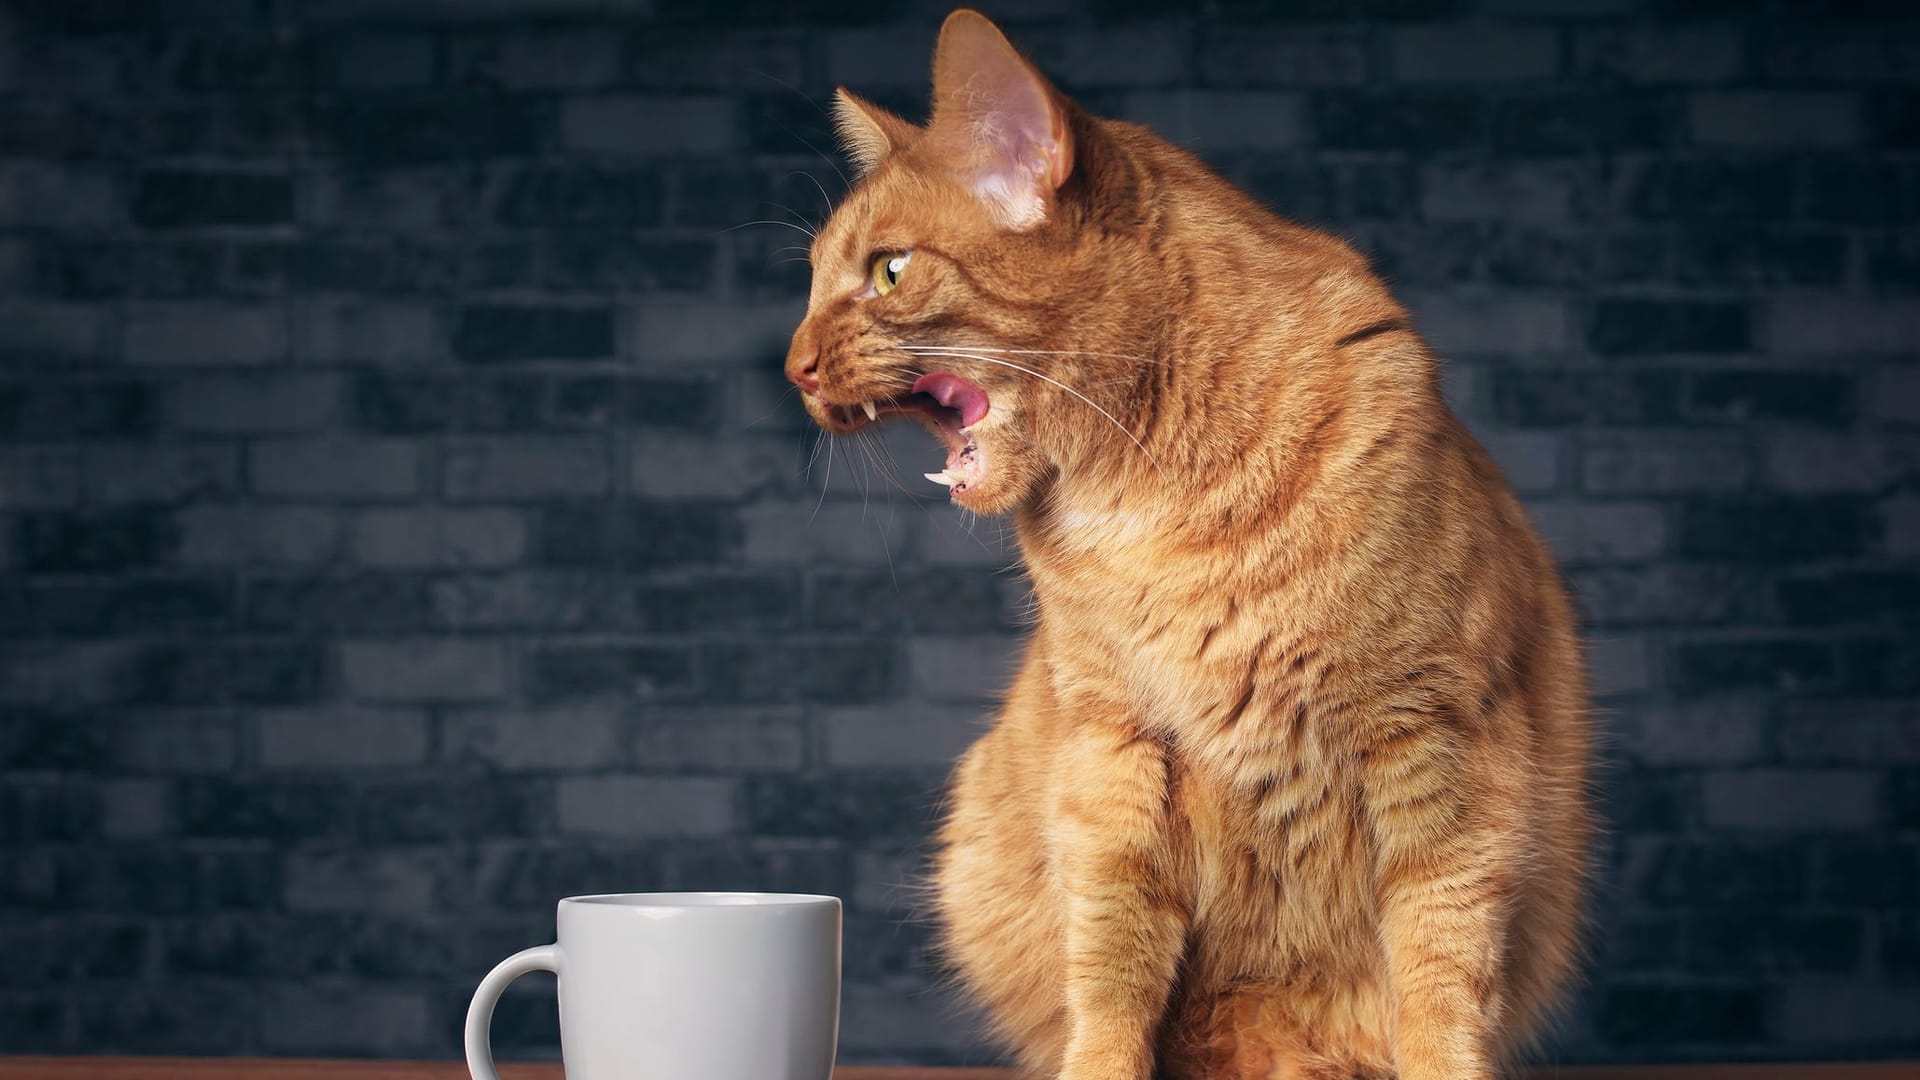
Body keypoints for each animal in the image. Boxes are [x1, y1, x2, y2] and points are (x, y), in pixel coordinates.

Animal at [787, 10, 1597, 1076]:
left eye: (887, 270)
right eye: (807, 283)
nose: (792, 366)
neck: (1157, 508)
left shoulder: (1440, 745)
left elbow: (1440, 965)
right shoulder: (1114, 754)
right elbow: (1112, 962)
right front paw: (1100, 1063)